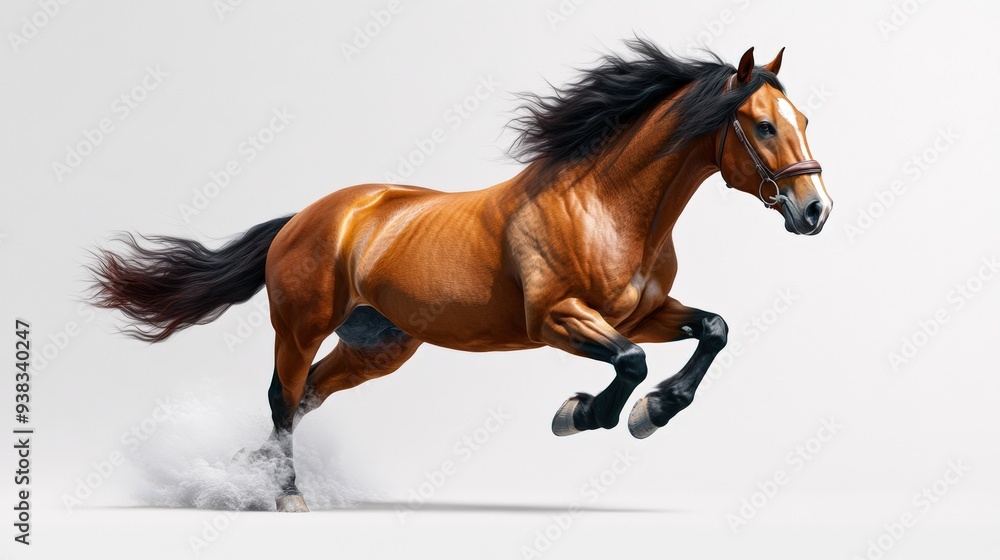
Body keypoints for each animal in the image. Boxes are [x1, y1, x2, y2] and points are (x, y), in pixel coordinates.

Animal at [89, 39, 832, 513]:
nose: (816, 210)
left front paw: (651, 414)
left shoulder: (641, 313)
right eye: (763, 126)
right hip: (300, 327)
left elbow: (715, 329)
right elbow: (630, 364)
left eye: (801, 119)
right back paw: (285, 495)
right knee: (282, 395)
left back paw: (249, 476)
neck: (605, 206)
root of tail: (307, 216)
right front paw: (582, 414)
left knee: (305, 400)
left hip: (377, 347)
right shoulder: (558, 318)